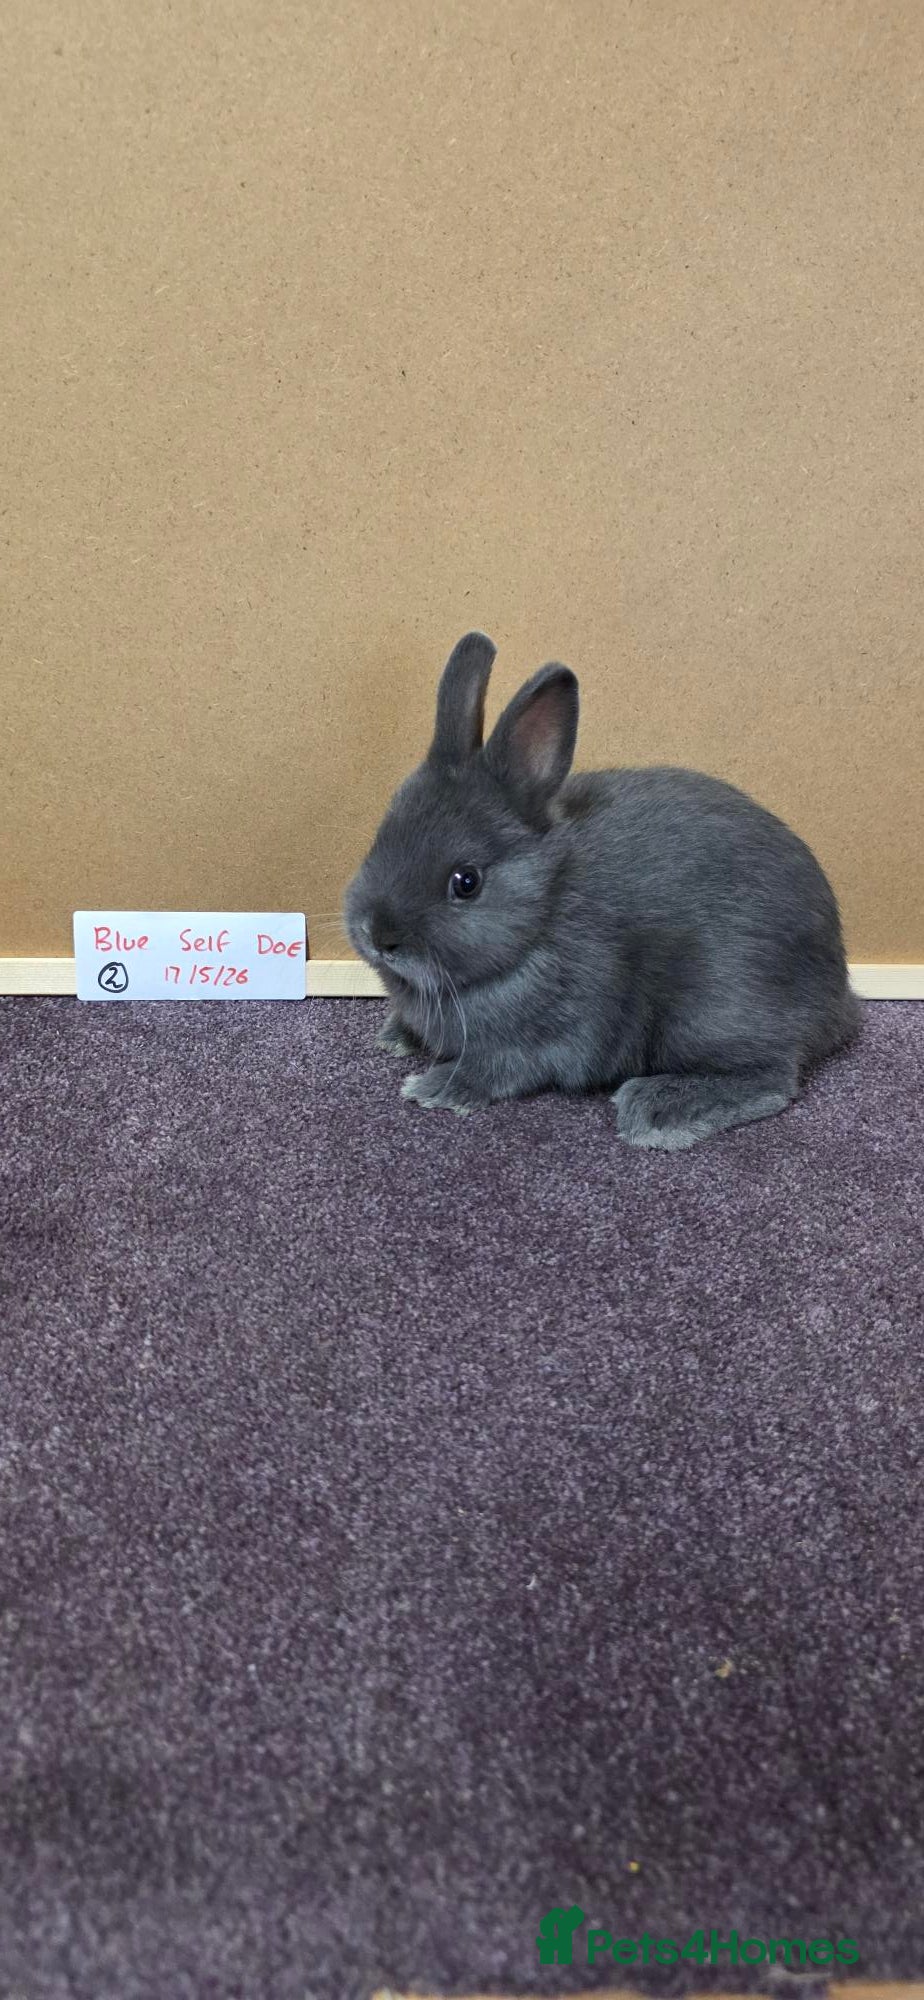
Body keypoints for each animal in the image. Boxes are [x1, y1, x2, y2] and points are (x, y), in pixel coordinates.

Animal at [342, 632, 861, 1149]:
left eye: (466, 882)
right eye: (382, 836)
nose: (377, 935)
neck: (541, 921)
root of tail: (838, 1001)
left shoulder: (552, 1036)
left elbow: (497, 1067)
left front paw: (434, 1088)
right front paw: (396, 1036)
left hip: (712, 1011)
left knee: (771, 1077)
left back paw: (657, 1108)